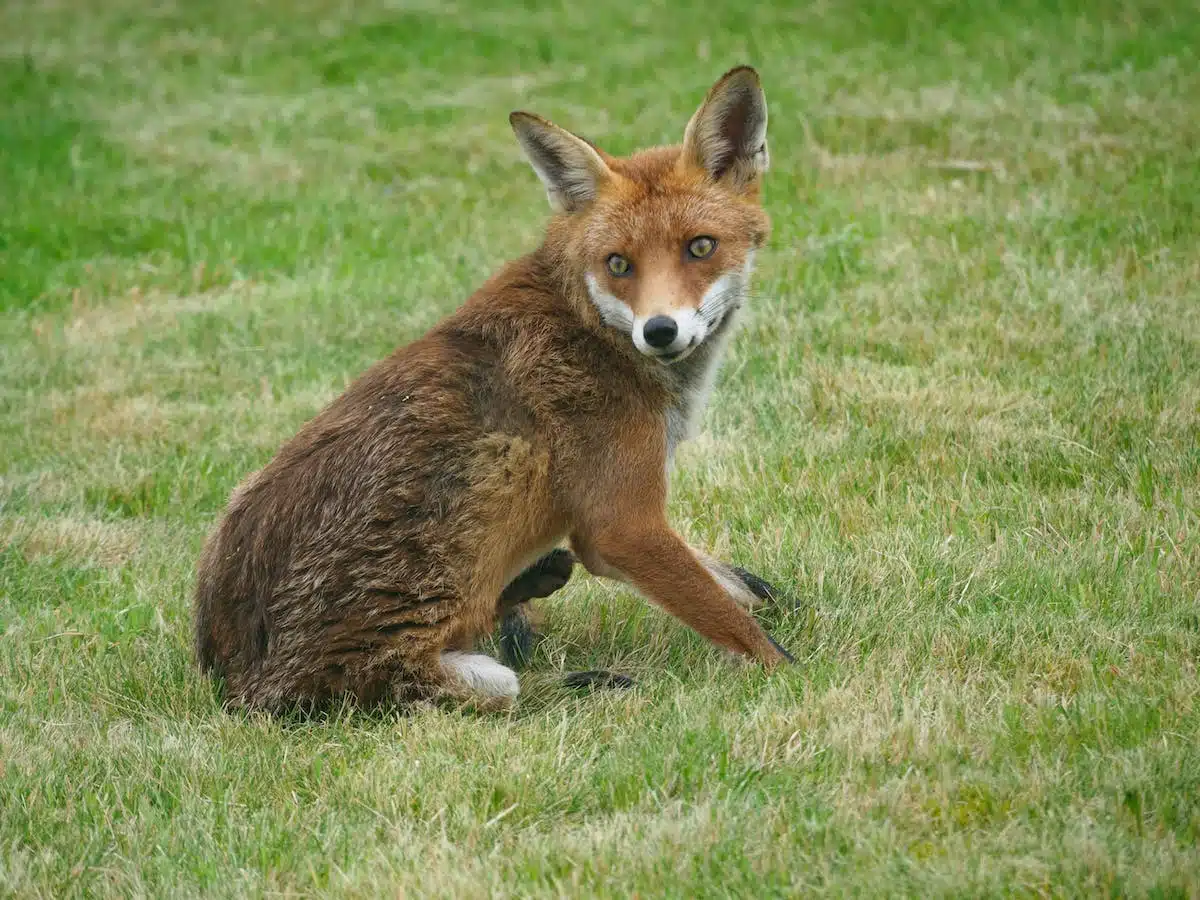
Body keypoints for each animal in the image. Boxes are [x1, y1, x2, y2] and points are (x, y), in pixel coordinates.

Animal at [194, 66, 796, 715]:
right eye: (618, 264)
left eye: (700, 247)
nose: (659, 330)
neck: (591, 326)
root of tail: (228, 684)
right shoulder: (621, 527)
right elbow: (746, 632)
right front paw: (799, 676)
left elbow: (733, 586)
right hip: (422, 668)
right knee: (503, 685)